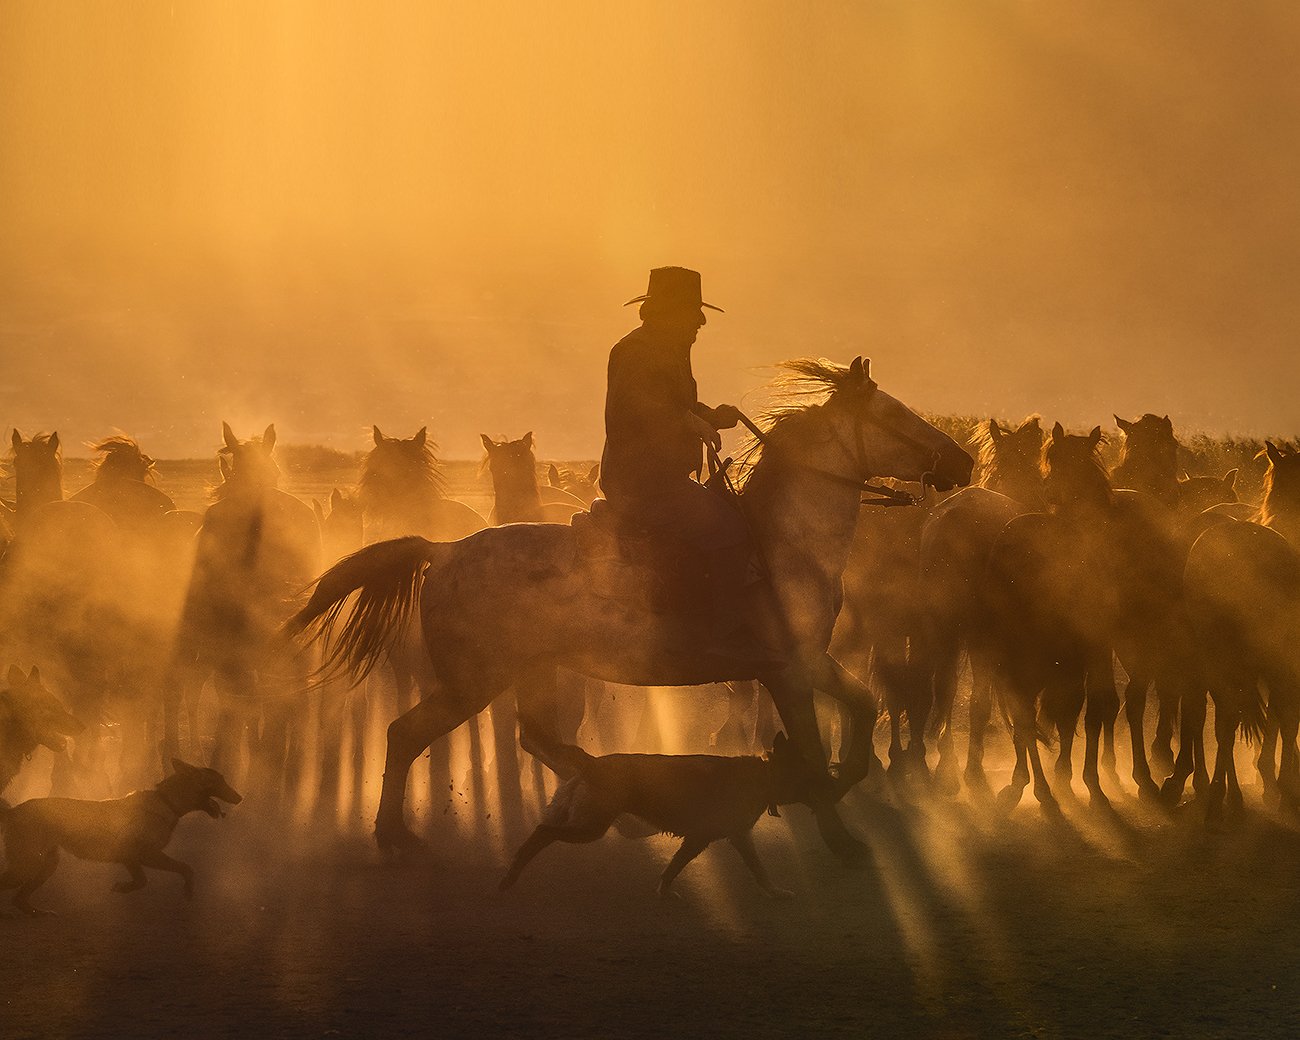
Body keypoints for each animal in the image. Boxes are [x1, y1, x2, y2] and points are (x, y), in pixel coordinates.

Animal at [0, 754, 241, 920]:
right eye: (219, 780)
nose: (239, 797)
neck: (166, 801)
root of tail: (13, 811)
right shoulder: (137, 854)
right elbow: (146, 879)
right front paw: (124, 887)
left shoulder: (144, 856)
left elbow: (183, 869)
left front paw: (188, 891)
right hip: (27, 866)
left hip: (46, 865)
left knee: (18, 899)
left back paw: (38, 912)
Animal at [499, 733, 811, 894]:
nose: (824, 787)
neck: (765, 775)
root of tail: (593, 763)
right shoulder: (700, 838)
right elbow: (675, 867)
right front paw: (665, 890)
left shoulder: (738, 837)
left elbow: (759, 870)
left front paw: (775, 892)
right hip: (590, 827)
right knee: (543, 832)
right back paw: (511, 876)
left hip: (577, 819)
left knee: (538, 834)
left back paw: (511, 874)